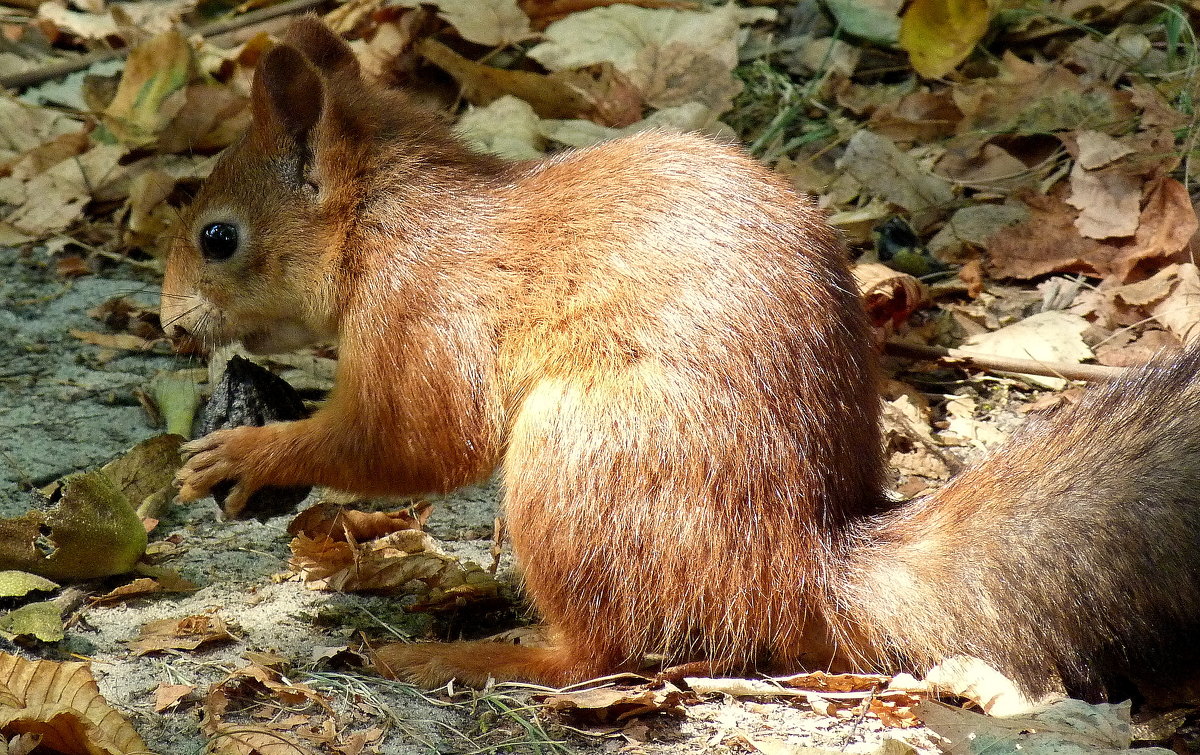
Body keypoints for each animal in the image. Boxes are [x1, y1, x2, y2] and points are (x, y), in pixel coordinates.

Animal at [162, 19, 1200, 700]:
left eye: (218, 237)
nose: (170, 325)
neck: (385, 223)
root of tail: (797, 561)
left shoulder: (422, 317)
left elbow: (410, 439)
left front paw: (249, 452)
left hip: (578, 455)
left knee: (601, 652)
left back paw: (472, 655)